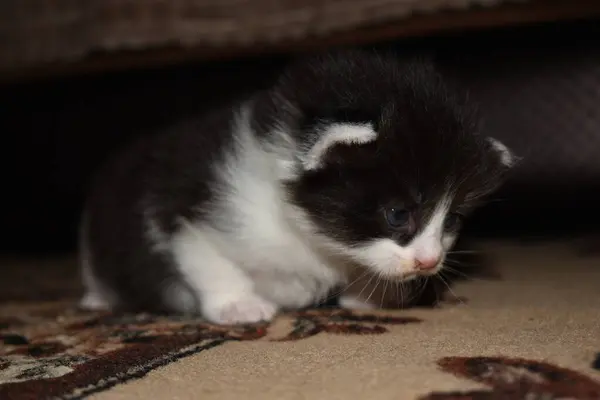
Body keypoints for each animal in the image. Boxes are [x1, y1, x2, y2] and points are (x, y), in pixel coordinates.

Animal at [77, 50, 512, 324]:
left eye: (452, 220)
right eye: (397, 214)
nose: (429, 262)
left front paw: (371, 295)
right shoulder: (187, 211)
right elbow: (208, 259)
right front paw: (237, 305)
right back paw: (98, 297)